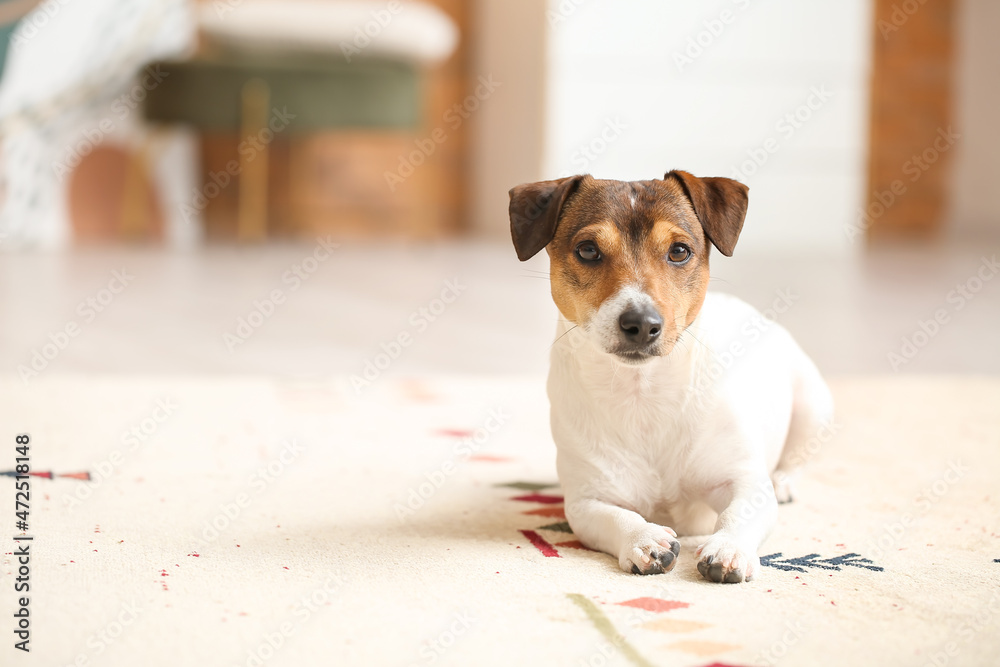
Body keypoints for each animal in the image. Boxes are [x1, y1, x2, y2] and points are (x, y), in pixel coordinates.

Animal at [512, 171, 832, 584]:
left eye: (679, 251)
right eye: (587, 250)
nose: (641, 323)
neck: (643, 391)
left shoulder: (743, 483)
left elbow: (738, 512)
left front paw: (729, 548)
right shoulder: (586, 501)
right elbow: (617, 516)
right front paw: (644, 538)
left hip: (813, 407)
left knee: (796, 458)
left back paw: (784, 481)